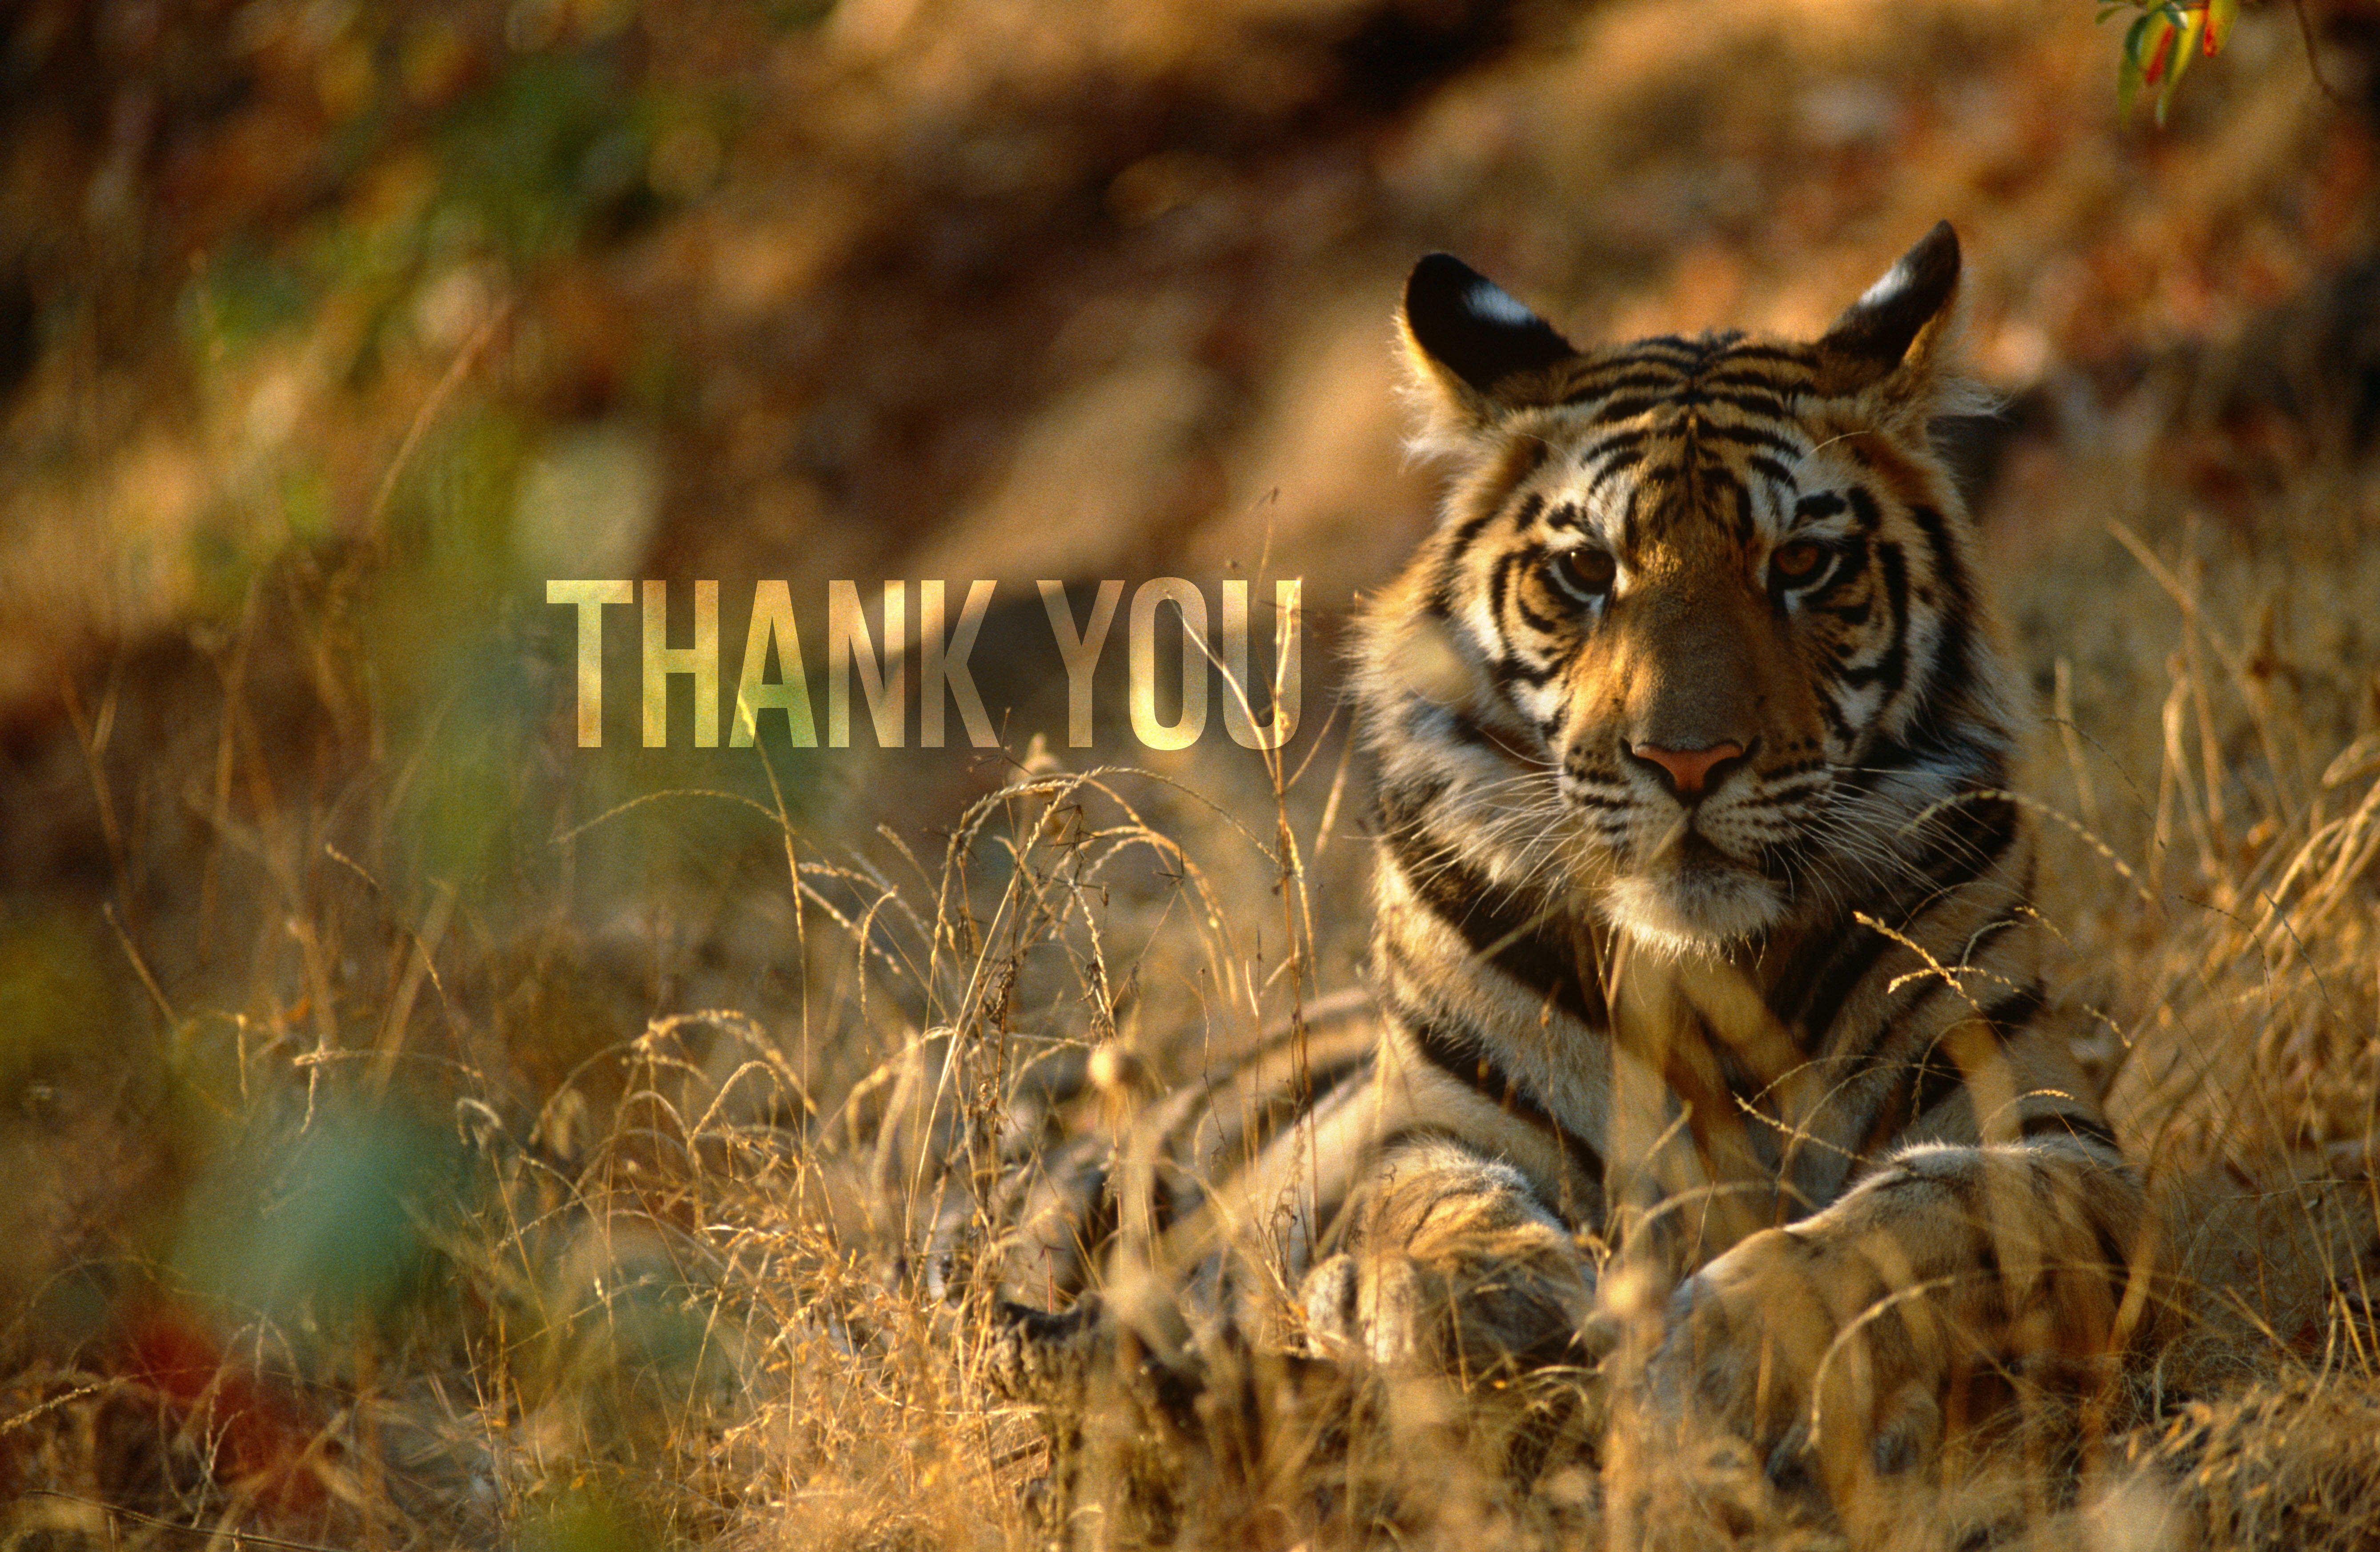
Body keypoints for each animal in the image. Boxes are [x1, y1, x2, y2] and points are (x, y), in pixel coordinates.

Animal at [986, 222, 2147, 1513]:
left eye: (1801, 561)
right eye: (1587, 570)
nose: (1687, 759)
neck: (1704, 975)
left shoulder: (2050, 1135)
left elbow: (1908, 1221)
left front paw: (1716, 1356)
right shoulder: (1432, 1122)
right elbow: (1424, 1211)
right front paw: (1490, 1314)